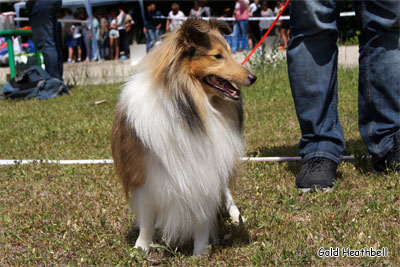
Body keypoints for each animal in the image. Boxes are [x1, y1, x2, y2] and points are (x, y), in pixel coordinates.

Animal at [111, 18, 256, 255]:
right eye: (217, 56)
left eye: (229, 52)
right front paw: (141, 248)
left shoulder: (205, 171)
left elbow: (202, 214)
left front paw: (200, 251)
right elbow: (147, 217)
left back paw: (236, 216)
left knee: (226, 194)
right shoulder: (146, 174)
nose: (253, 78)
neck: (191, 109)